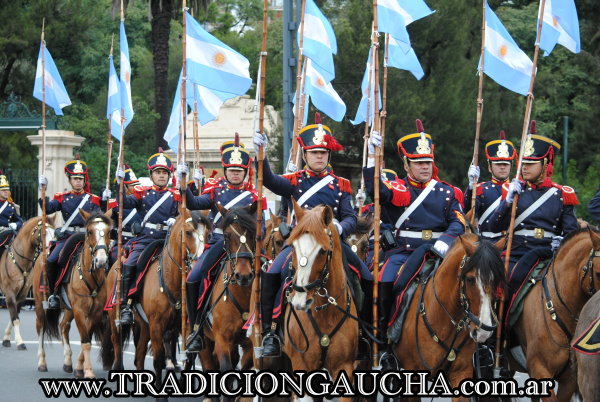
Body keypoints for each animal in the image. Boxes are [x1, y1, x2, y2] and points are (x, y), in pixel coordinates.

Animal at [0, 217, 54, 348]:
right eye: (43, 233)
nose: (50, 249)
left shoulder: (22, 294)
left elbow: (14, 316)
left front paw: (7, 338)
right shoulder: (9, 293)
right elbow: (15, 318)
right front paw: (20, 342)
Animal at [284, 201, 358, 398]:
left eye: (323, 251)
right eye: (293, 247)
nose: (300, 302)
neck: (325, 314)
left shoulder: (344, 367)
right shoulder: (301, 365)